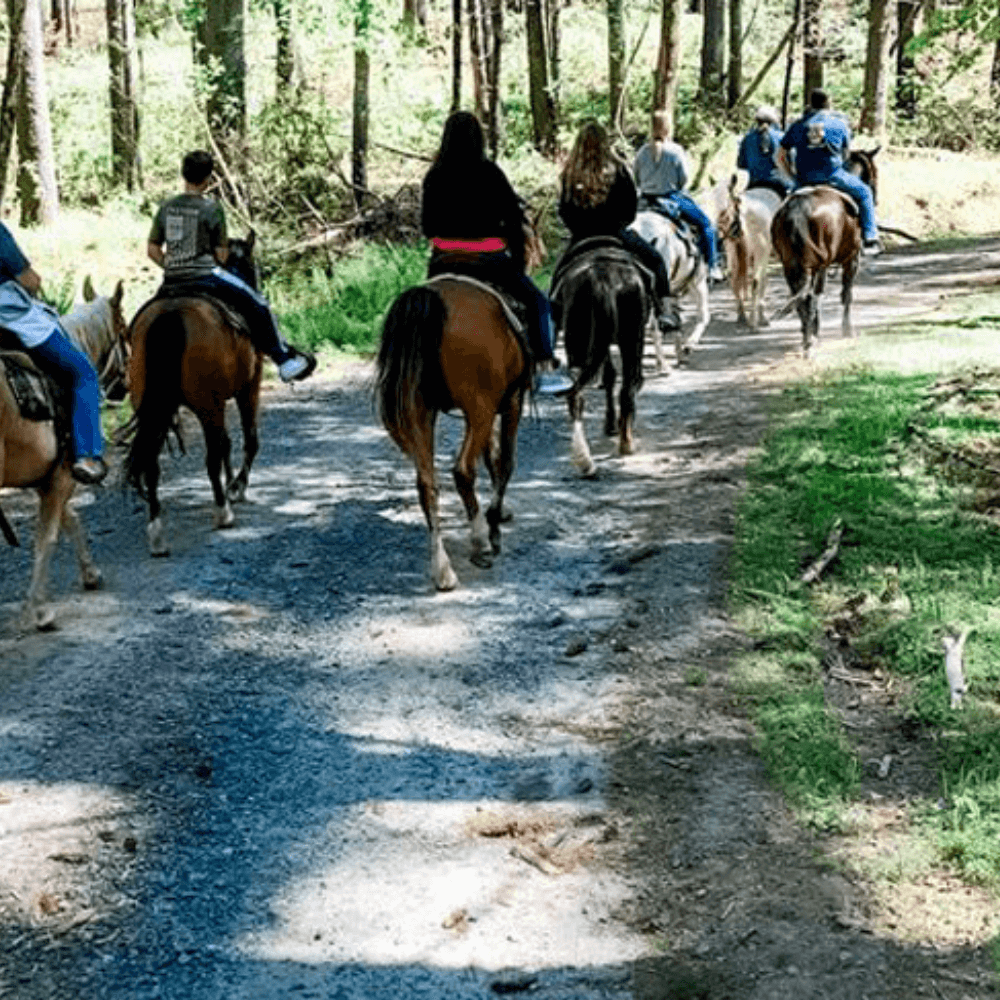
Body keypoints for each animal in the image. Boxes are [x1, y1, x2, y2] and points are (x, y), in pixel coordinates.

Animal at [0, 278, 129, 628]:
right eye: (125, 330)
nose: (124, 387)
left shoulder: (49, 479)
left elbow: (70, 519)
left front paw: (90, 573)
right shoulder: (61, 478)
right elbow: (48, 538)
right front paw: (40, 609)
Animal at [122, 238, 266, 560]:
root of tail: (171, 315)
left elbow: (227, 443)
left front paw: (231, 485)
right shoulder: (248, 387)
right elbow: (247, 441)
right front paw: (236, 487)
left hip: (153, 408)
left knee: (152, 464)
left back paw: (157, 535)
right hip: (207, 405)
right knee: (211, 456)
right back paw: (223, 513)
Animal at [376, 274, 532, 588]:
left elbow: (492, 457)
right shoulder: (512, 402)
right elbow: (505, 462)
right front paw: (494, 525)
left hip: (421, 412)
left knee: (427, 484)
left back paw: (442, 568)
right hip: (480, 408)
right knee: (462, 471)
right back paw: (481, 542)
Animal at [552, 240, 652, 478]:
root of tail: (602, 279)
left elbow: (608, 376)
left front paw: (610, 424)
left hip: (580, 340)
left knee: (577, 392)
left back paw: (584, 458)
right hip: (630, 338)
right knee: (625, 388)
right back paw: (624, 443)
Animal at [632, 209, 712, 370]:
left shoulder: (672, 293)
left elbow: (677, 321)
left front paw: (680, 355)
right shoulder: (698, 284)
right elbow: (703, 316)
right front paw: (688, 346)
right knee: (653, 327)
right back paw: (663, 366)